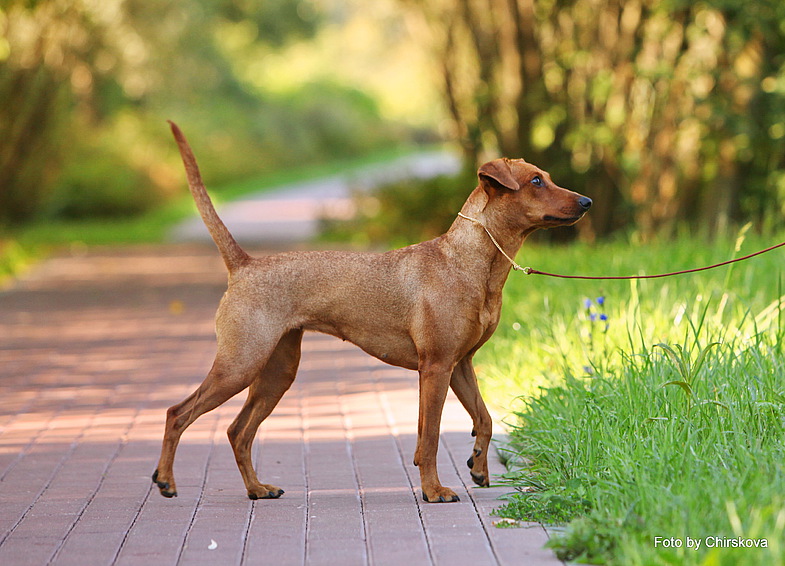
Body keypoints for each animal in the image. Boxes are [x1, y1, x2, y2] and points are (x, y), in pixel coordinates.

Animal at [153, 122, 591, 503]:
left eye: (546, 177)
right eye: (536, 181)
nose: (587, 200)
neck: (470, 262)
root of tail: (244, 265)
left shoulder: (460, 364)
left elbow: (483, 419)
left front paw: (479, 467)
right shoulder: (436, 367)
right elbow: (429, 437)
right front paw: (434, 491)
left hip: (277, 370)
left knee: (237, 431)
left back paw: (258, 489)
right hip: (240, 363)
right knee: (178, 413)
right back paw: (166, 481)